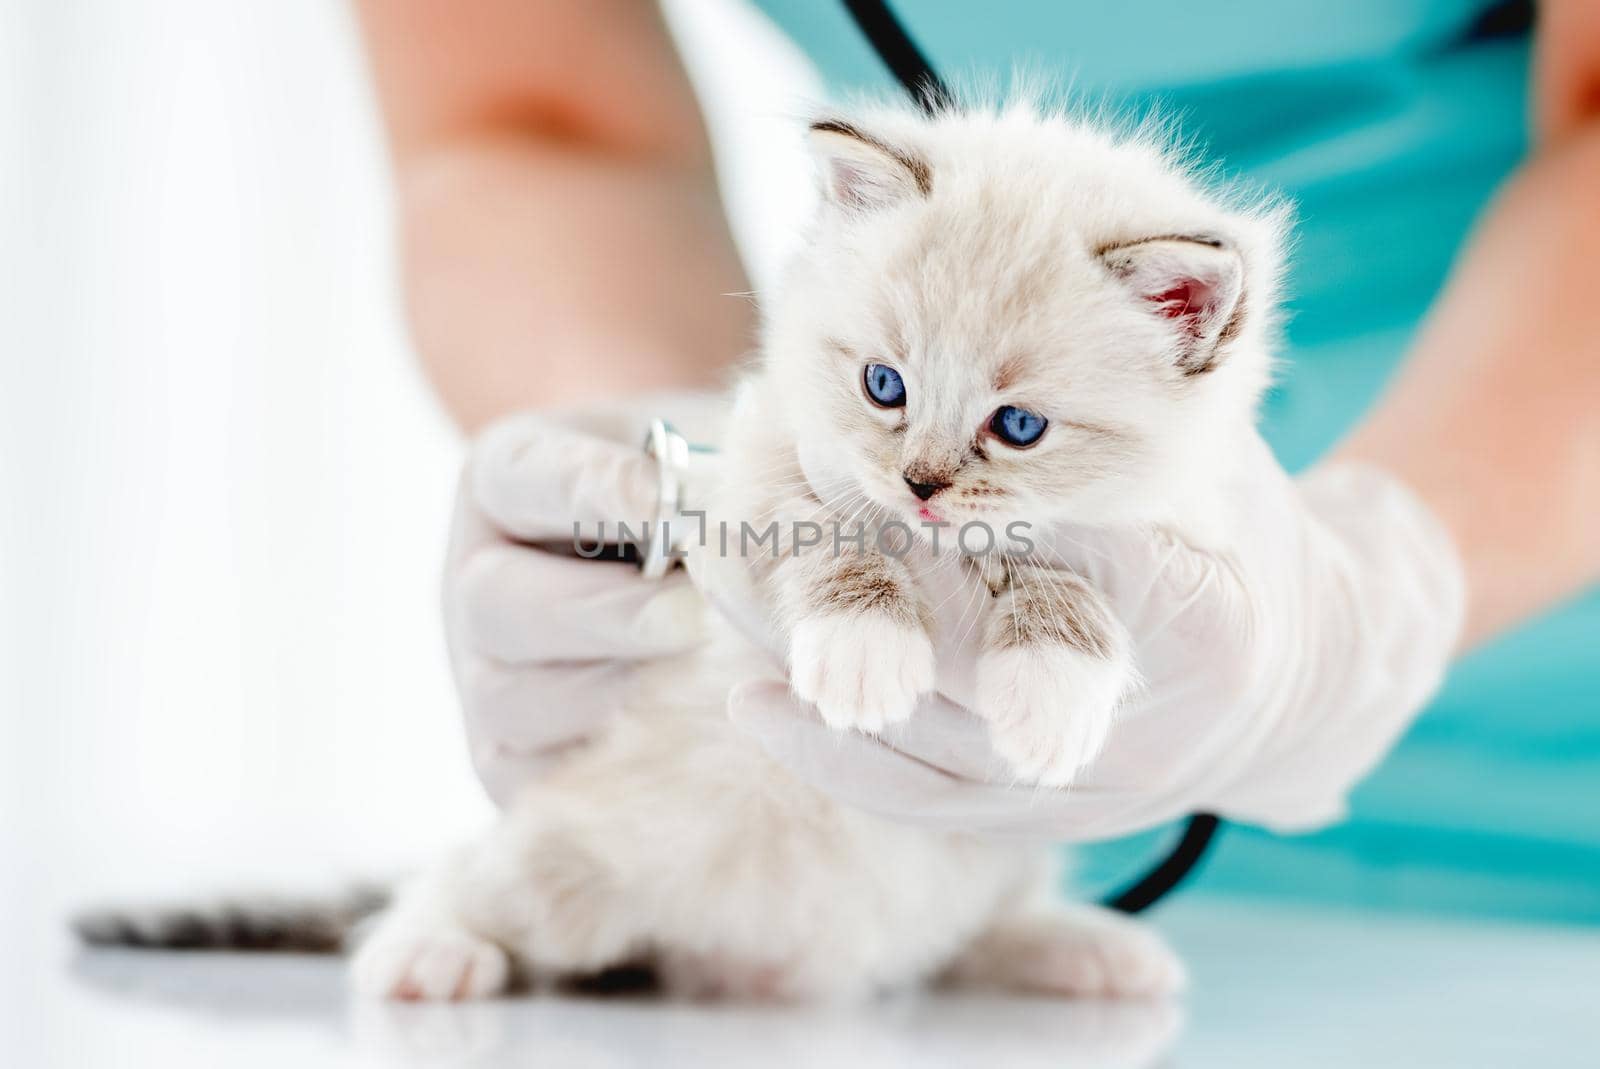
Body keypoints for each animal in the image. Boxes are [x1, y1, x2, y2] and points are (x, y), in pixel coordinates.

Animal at [78, 100, 1286, 1004]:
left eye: (1019, 425)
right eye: (882, 384)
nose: (921, 485)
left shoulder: (1178, 539)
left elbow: (1062, 572)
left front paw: (1049, 682)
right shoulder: (754, 468)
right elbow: (831, 534)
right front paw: (867, 648)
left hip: (981, 866)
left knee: (963, 942)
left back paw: (1079, 947)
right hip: (559, 864)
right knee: (453, 884)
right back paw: (425, 953)